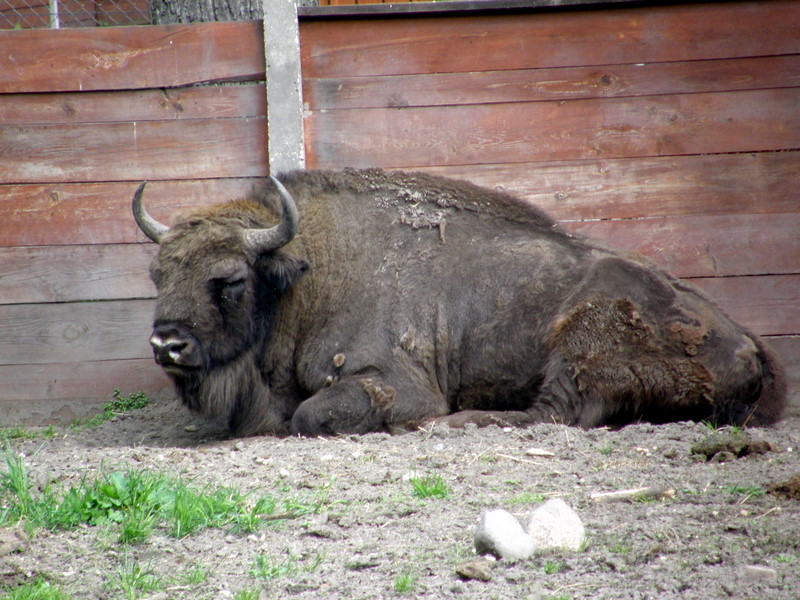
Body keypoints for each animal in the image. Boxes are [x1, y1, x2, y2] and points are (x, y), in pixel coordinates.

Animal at [134, 169, 784, 436]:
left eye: (229, 280)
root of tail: (749, 344)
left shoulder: (395, 383)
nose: (167, 343)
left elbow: (308, 417)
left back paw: (452, 423)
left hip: (585, 337)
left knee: (555, 413)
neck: (308, 275)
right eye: (158, 273)